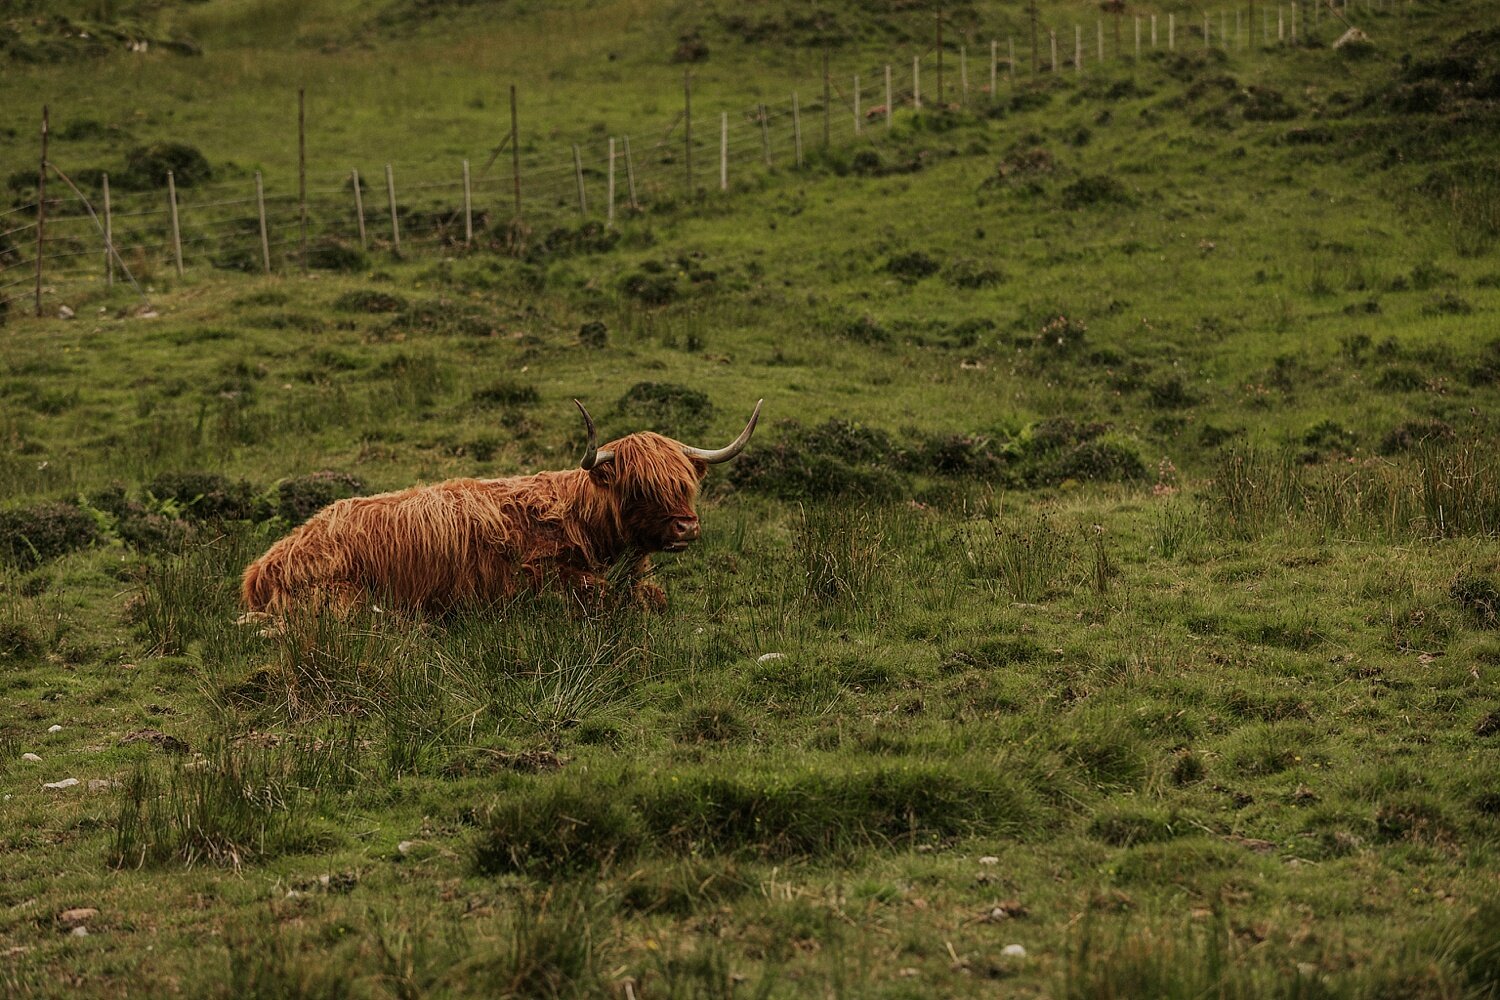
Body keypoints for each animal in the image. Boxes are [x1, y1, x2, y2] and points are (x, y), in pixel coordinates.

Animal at [246, 398, 768, 617]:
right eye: (639, 488)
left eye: (685, 484)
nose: (685, 527)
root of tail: (262, 566)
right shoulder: (541, 578)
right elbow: (604, 595)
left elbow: (653, 596)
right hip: (340, 597)